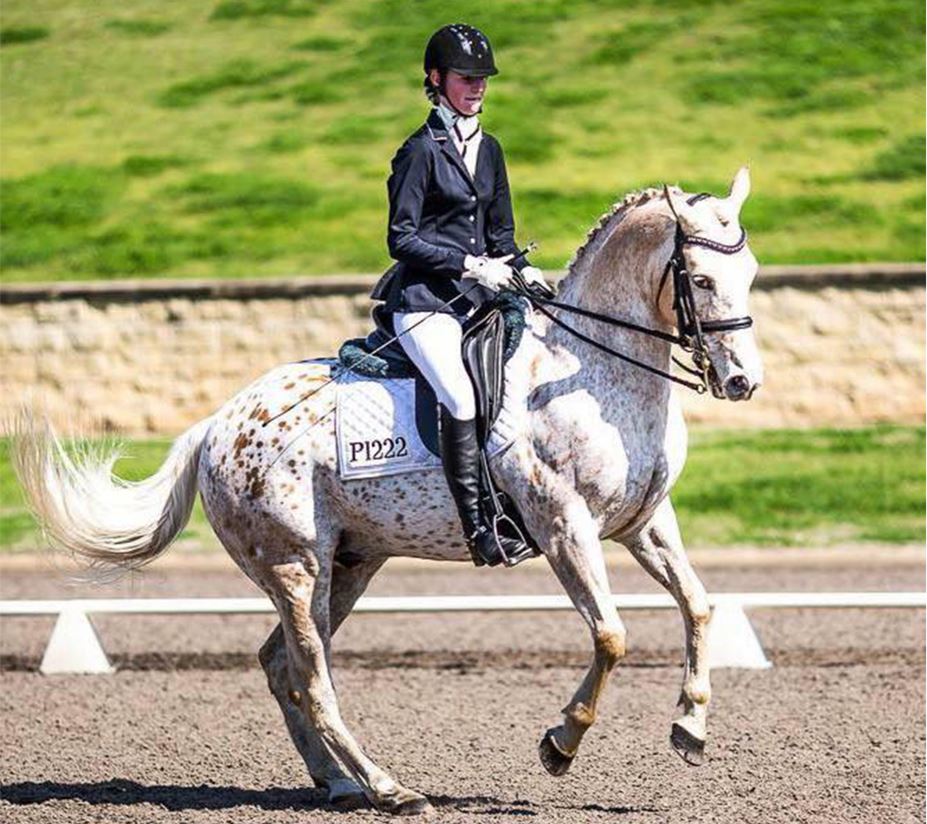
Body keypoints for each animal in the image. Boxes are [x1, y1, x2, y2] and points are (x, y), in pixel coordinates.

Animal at [13, 168, 763, 815]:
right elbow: (610, 636)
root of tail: (217, 424)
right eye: (699, 278)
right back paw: (388, 788)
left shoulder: (644, 523)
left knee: (280, 666)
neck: (589, 371)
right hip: (295, 566)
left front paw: (690, 728)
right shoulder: (563, 527)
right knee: (313, 679)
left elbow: (698, 606)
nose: (741, 383)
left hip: (349, 565)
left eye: (752, 274)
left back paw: (338, 783)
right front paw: (561, 743)